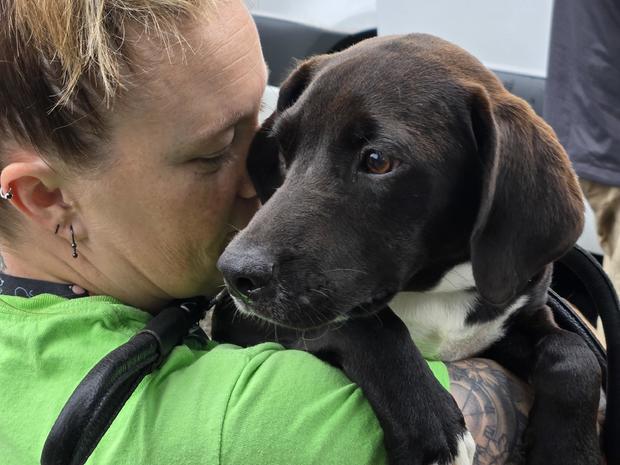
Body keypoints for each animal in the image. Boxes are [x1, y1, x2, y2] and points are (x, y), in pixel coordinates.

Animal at [216, 34, 604, 462]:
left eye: (377, 160)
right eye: (284, 148)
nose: (235, 275)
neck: (433, 291)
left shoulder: (517, 316)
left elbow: (575, 354)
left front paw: (569, 450)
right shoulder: (234, 319)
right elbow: (368, 323)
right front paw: (432, 431)